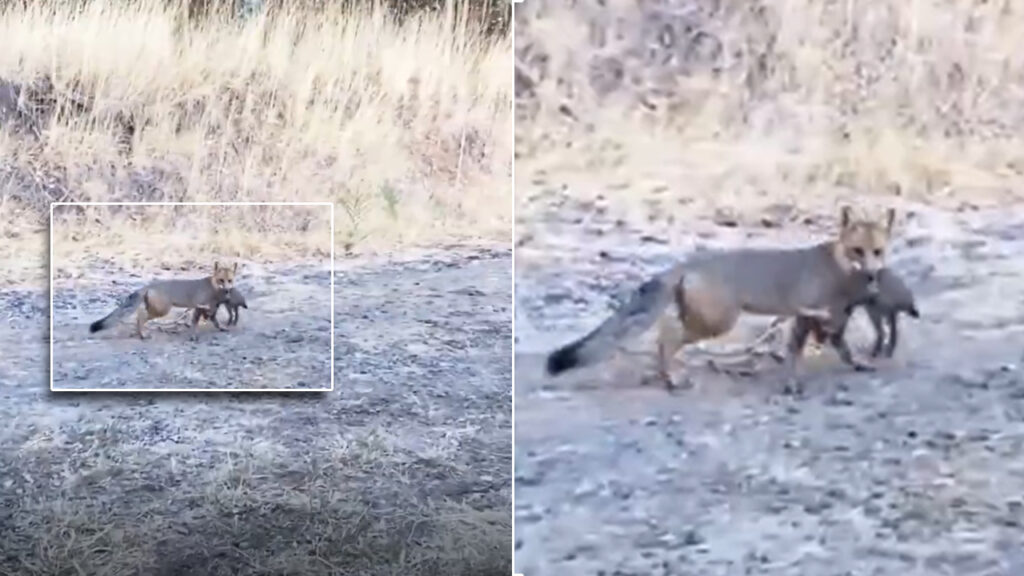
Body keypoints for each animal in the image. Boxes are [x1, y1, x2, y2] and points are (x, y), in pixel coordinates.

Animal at [88, 262, 237, 340]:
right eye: (221, 280)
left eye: (229, 280)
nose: (227, 290)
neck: (213, 289)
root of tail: (148, 285)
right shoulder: (199, 307)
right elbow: (195, 324)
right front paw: (194, 336)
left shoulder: (211, 309)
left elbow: (216, 322)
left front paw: (222, 328)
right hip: (163, 310)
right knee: (141, 317)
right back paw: (143, 334)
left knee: (138, 316)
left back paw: (140, 333)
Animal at [544, 206, 896, 393]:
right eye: (857, 251)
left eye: (877, 251)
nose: (872, 274)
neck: (839, 272)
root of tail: (686, 262)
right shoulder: (806, 314)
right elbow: (794, 354)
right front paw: (792, 384)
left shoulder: (833, 320)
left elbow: (845, 349)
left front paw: (859, 364)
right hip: (719, 322)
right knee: (667, 338)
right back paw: (672, 378)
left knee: (663, 336)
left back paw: (667, 376)